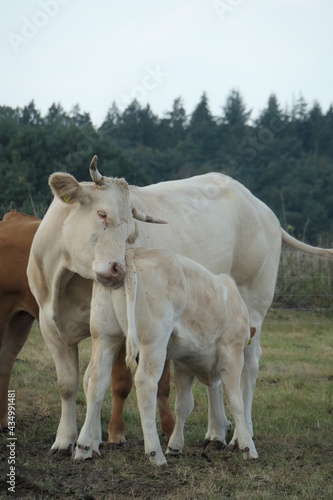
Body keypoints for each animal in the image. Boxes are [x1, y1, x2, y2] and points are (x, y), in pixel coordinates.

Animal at [0, 211, 172, 442]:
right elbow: (120, 382)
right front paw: (116, 431)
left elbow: (162, 382)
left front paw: (170, 428)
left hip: (20, 319)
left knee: (6, 360)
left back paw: (4, 421)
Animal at [74, 248, 258, 466]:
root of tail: (133, 252)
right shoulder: (232, 352)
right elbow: (236, 401)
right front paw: (247, 447)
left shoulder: (184, 363)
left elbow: (184, 404)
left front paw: (175, 445)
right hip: (154, 341)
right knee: (145, 384)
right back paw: (155, 453)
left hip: (105, 336)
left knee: (96, 380)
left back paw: (84, 447)